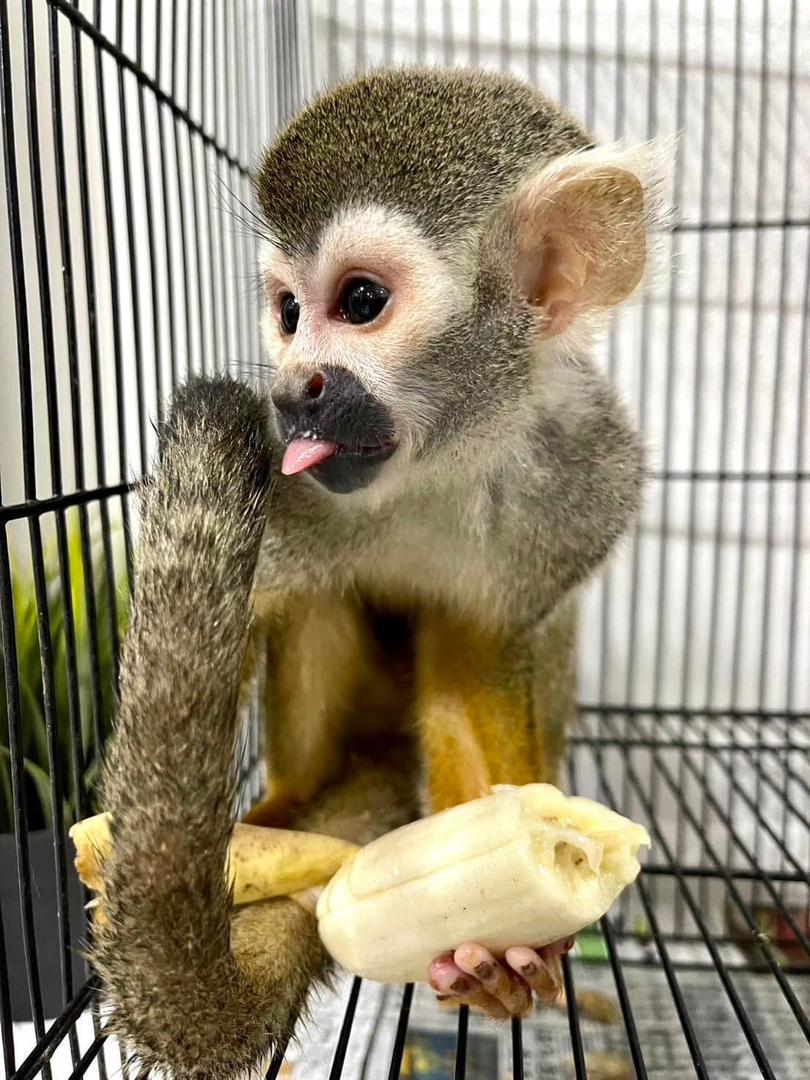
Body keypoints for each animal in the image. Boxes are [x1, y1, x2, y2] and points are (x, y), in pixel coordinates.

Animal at [93, 67, 664, 1078]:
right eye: (287, 314)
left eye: (360, 301)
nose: (292, 390)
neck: (439, 465)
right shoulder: (286, 479)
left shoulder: (585, 478)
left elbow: (485, 650)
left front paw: (504, 941)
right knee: (321, 601)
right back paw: (292, 805)